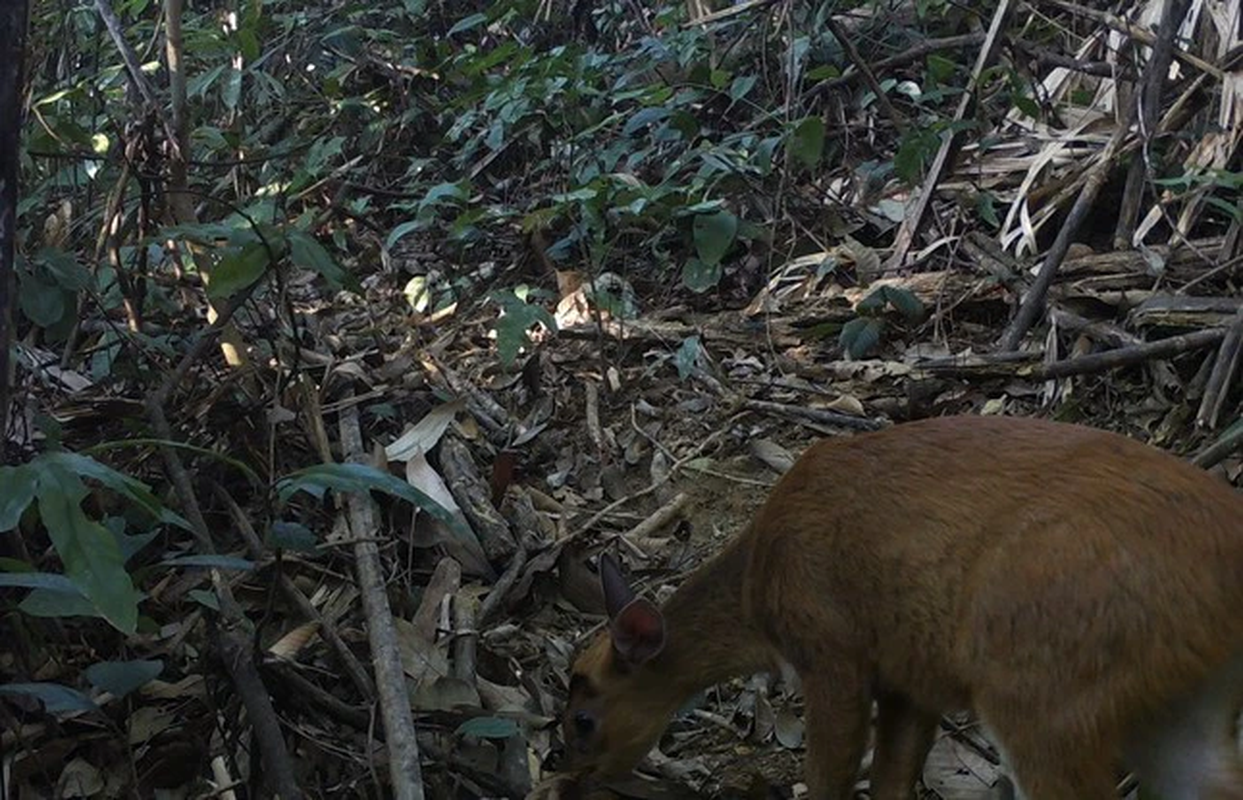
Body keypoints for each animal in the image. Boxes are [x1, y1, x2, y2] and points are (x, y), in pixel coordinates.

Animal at [559, 414, 1243, 795]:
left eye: (582, 720)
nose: (568, 783)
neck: (758, 589)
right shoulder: (915, 676)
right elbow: (891, 780)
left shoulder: (832, 650)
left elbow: (832, 776)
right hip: (1180, 705)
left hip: (1043, 688)